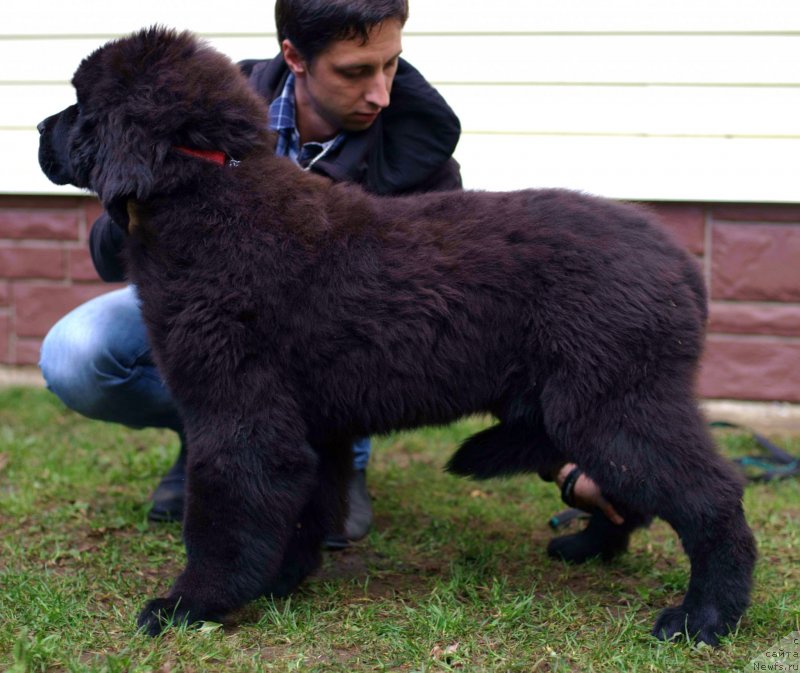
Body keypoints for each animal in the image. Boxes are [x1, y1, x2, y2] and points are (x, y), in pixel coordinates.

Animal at [40, 28, 756, 644]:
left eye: (81, 106)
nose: (39, 130)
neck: (210, 185)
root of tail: (681, 265)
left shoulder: (240, 413)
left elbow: (223, 517)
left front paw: (188, 605)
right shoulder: (311, 425)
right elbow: (303, 507)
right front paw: (279, 581)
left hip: (611, 405)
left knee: (711, 498)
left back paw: (703, 619)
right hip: (597, 408)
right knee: (628, 489)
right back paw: (591, 546)